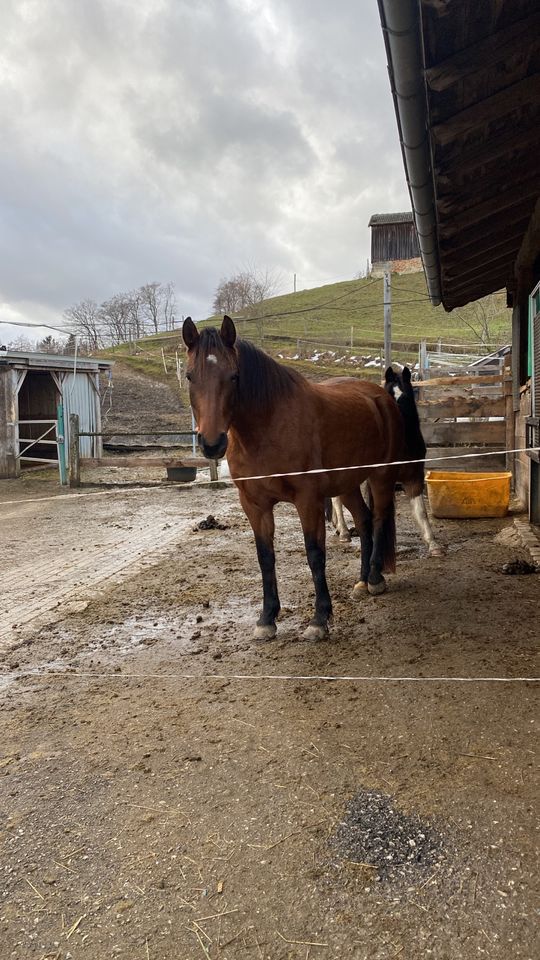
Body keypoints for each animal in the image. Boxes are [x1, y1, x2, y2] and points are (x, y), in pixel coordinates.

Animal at [182, 316, 404, 640]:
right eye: (189, 377)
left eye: (234, 376)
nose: (212, 444)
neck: (268, 427)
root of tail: (379, 396)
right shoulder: (254, 505)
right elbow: (265, 557)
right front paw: (267, 619)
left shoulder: (308, 500)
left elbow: (314, 554)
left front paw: (319, 619)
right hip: (347, 484)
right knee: (363, 521)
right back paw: (362, 582)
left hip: (381, 476)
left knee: (377, 520)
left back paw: (375, 579)